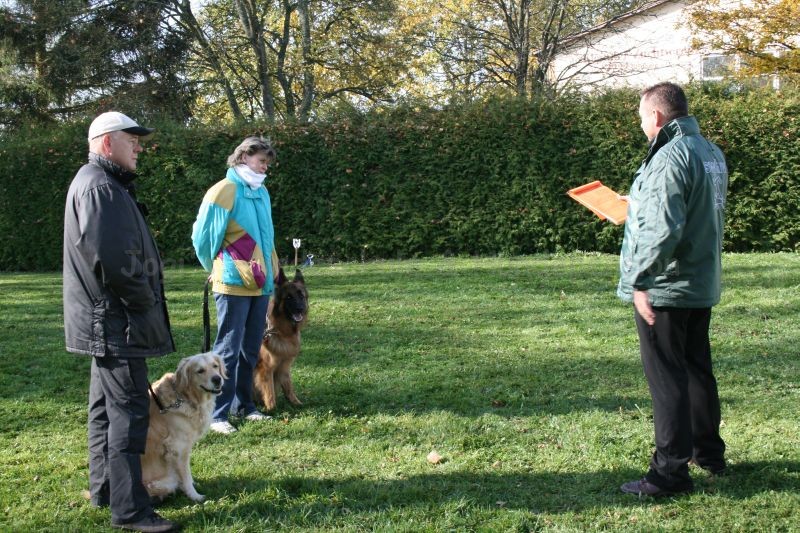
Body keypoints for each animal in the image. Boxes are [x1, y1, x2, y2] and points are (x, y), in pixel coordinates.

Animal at [141, 352, 225, 502]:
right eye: (200, 371)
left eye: (215, 366)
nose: (217, 379)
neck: (186, 398)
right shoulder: (177, 448)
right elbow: (185, 475)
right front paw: (195, 496)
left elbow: (188, 473)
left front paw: (194, 484)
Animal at [254, 268, 308, 411]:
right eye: (288, 297)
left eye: (301, 296)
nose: (300, 309)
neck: (283, 333)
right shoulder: (266, 369)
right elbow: (269, 391)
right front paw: (271, 409)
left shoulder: (284, 366)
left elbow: (289, 387)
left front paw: (295, 403)